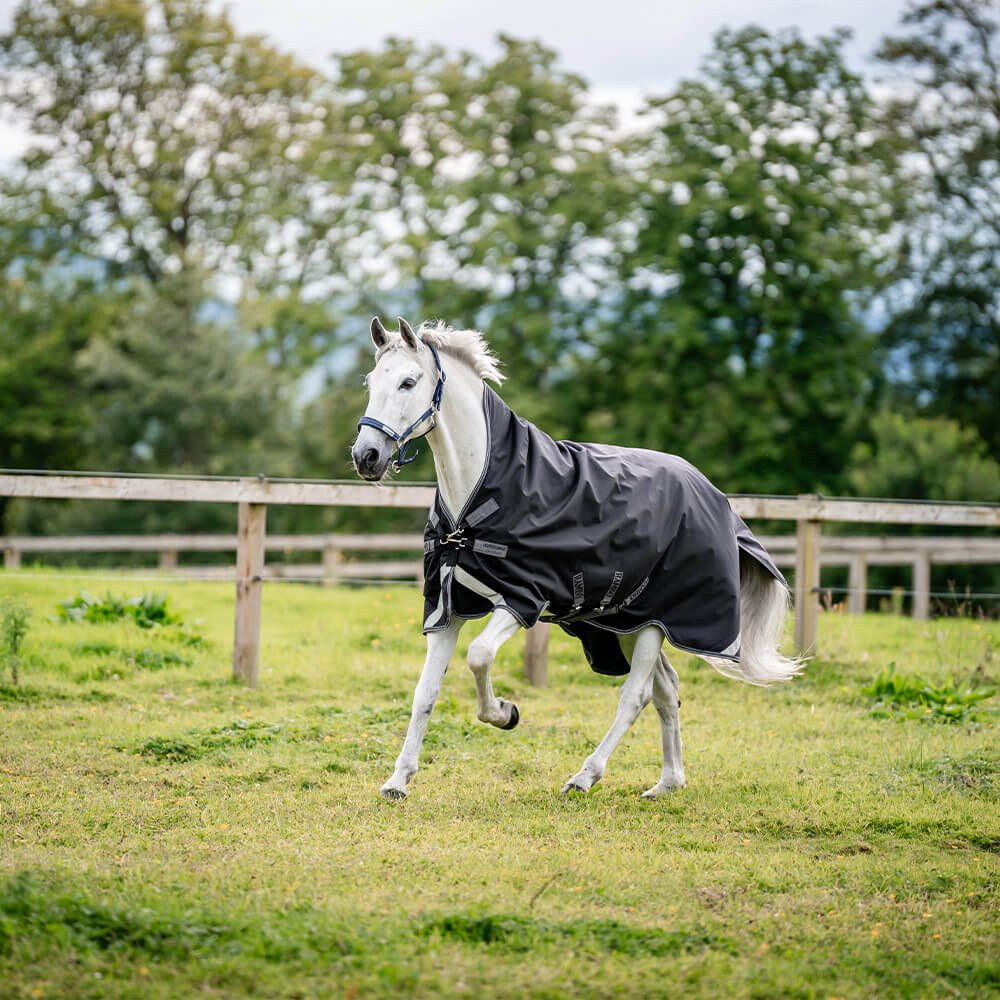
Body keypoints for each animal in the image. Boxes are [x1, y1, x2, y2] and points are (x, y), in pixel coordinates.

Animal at [352, 317, 801, 800]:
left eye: (408, 381)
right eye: (371, 381)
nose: (366, 456)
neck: (477, 501)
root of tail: (713, 494)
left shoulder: (521, 600)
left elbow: (479, 656)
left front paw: (505, 713)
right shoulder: (446, 609)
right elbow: (425, 692)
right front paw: (398, 780)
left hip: (655, 622)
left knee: (637, 696)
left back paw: (585, 776)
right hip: (627, 622)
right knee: (666, 691)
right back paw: (667, 783)